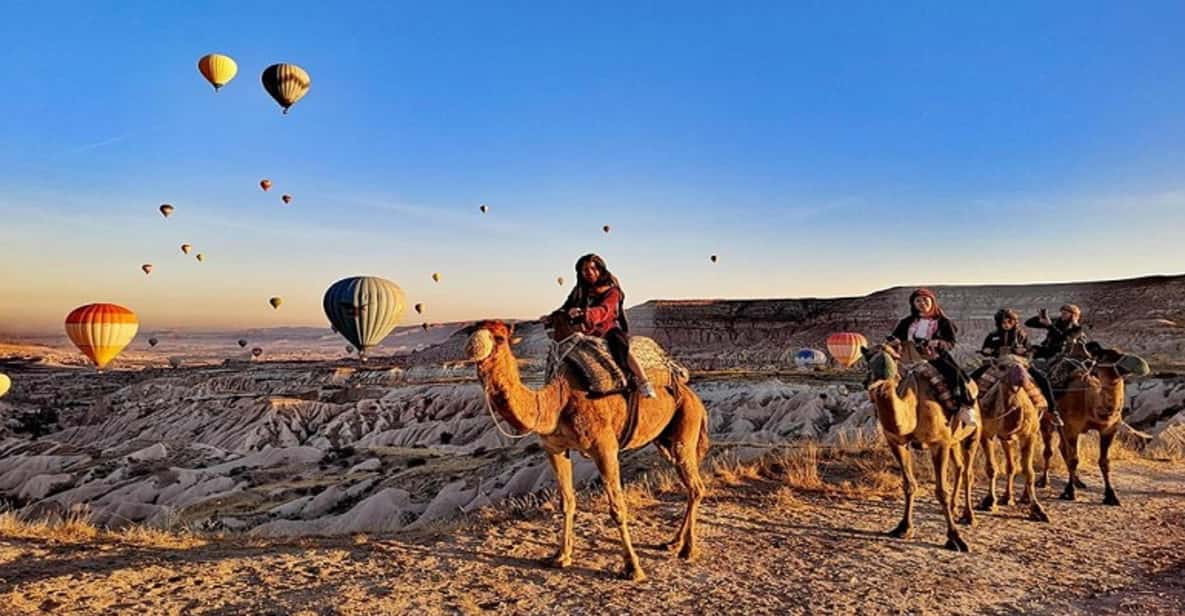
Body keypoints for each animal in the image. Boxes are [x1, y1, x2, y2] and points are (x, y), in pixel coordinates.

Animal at [463, 320, 709, 581]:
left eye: (500, 337)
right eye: (472, 331)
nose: (472, 350)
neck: (558, 401)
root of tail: (693, 396)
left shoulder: (604, 448)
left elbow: (617, 508)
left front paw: (633, 567)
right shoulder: (555, 448)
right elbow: (567, 501)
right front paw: (561, 556)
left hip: (686, 425)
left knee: (696, 486)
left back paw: (688, 548)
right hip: (664, 441)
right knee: (689, 485)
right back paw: (673, 542)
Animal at [861, 344, 978, 552]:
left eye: (895, 357)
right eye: (868, 359)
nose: (876, 382)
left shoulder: (939, 443)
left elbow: (941, 492)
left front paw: (956, 539)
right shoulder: (897, 442)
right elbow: (909, 485)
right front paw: (904, 528)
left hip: (973, 434)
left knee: (968, 472)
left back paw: (969, 516)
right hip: (954, 441)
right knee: (959, 467)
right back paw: (955, 508)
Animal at [973, 355, 1050, 522]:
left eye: (1026, 366)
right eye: (1002, 367)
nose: (1023, 378)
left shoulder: (1030, 435)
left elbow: (1029, 471)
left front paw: (1038, 509)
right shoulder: (987, 434)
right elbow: (992, 468)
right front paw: (989, 501)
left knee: (1020, 466)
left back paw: (1024, 497)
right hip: (1005, 438)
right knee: (1011, 466)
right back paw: (1007, 497)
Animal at [1037, 344, 1141, 506]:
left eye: (1121, 353)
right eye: (1106, 355)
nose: (1130, 365)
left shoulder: (1109, 429)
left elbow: (1105, 462)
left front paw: (1111, 496)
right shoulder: (1072, 427)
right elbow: (1074, 459)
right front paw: (1069, 492)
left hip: (1061, 424)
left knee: (1062, 447)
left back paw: (1078, 481)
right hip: (1047, 419)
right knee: (1049, 450)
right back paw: (1043, 481)